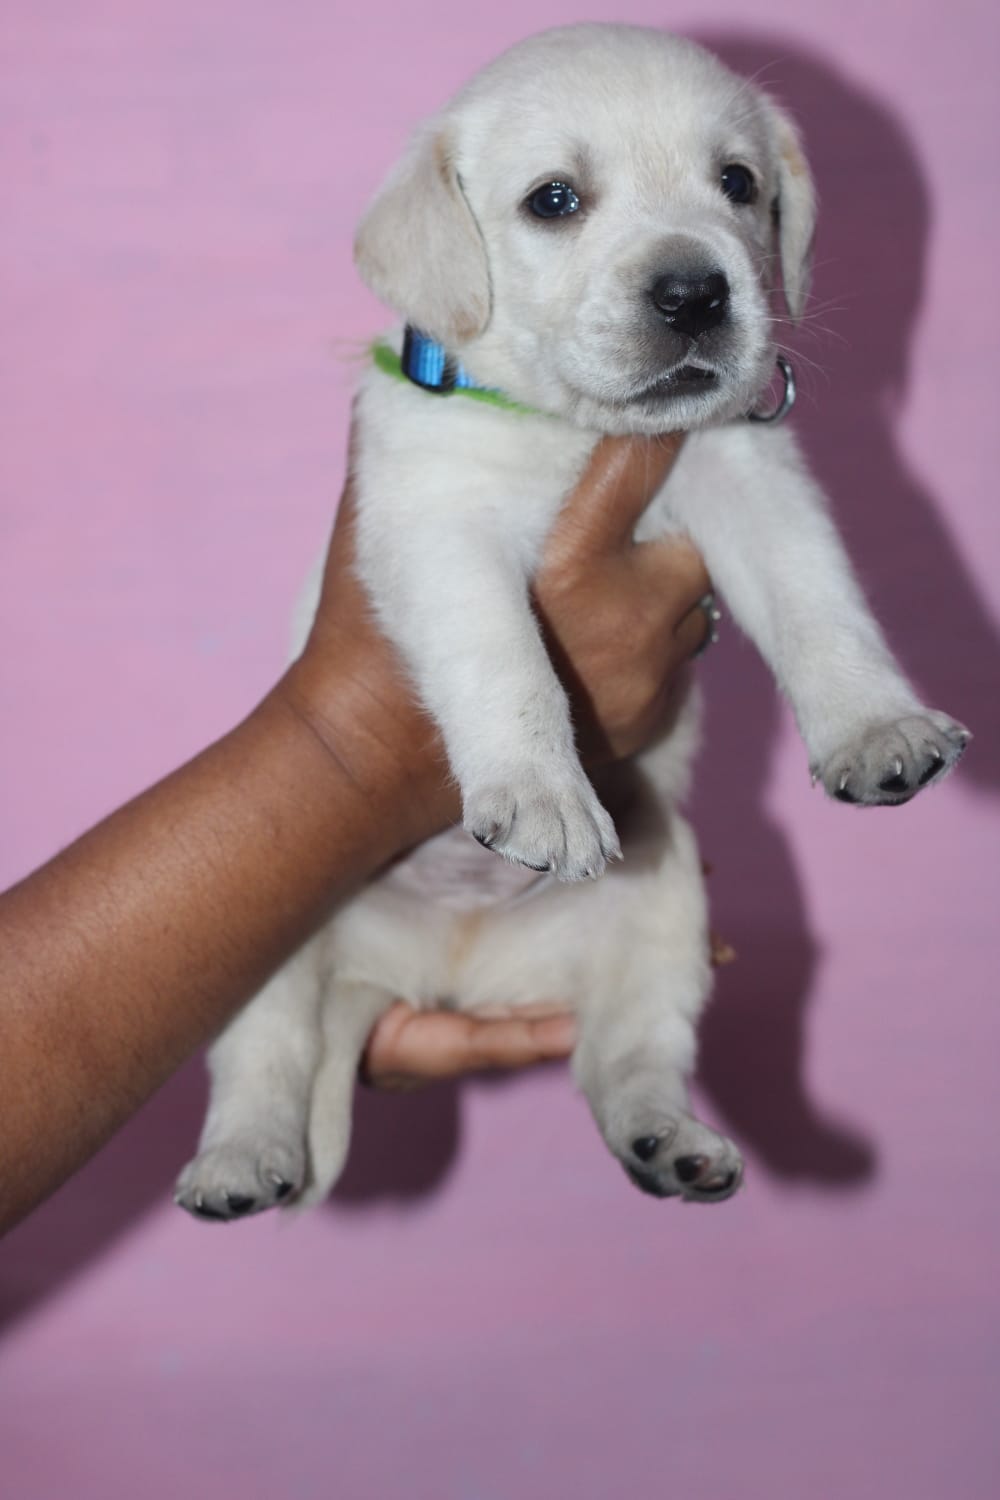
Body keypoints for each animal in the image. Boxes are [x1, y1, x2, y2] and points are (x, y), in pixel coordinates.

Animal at [177, 23, 971, 1218]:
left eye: (739, 184)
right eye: (554, 199)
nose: (695, 293)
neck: (571, 430)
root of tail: (442, 979)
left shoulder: (752, 478)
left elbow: (819, 603)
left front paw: (877, 728)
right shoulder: (435, 523)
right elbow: (506, 662)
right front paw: (544, 797)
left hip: (668, 902)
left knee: (627, 1057)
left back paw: (671, 1145)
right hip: (267, 943)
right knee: (261, 1058)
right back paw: (238, 1162)